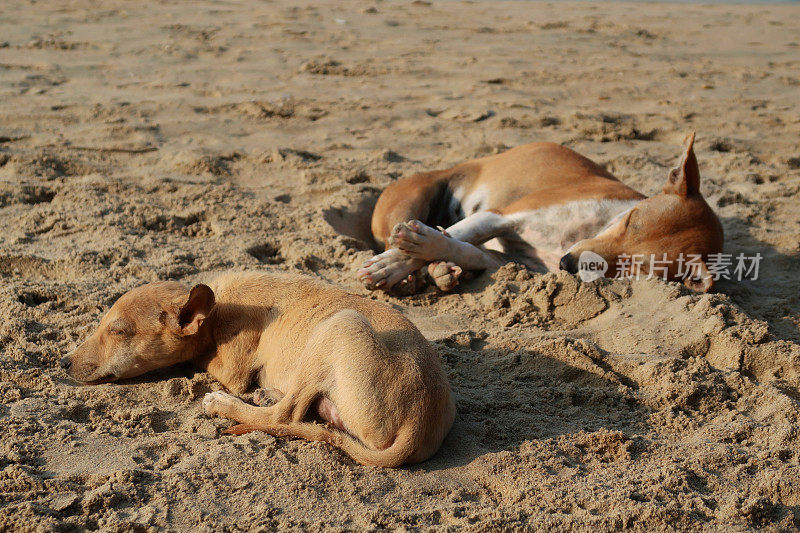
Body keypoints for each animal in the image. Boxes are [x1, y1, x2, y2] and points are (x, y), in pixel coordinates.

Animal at [59, 272, 454, 464]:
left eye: (119, 331)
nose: (63, 362)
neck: (217, 309)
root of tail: (420, 426)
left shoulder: (230, 369)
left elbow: (209, 364)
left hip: (340, 324)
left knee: (283, 416)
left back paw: (225, 404)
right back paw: (267, 394)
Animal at [360, 131, 720, 294]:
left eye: (636, 268)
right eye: (630, 220)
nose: (568, 264)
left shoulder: (505, 261)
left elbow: (462, 248)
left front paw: (432, 256)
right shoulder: (499, 216)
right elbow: (451, 239)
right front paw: (390, 264)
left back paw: (441, 271)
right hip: (411, 201)